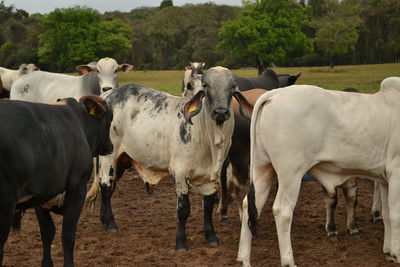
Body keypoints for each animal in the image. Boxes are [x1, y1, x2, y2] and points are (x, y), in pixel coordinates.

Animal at [0, 95, 112, 266]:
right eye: (110, 119)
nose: (110, 146)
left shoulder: (40, 195)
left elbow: (47, 233)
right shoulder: (77, 190)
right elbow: (68, 235)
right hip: (6, 204)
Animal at [88, 67, 253, 251]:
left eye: (232, 87)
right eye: (206, 85)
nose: (221, 112)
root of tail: (108, 95)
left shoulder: (213, 177)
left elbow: (208, 206)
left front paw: (211, 236)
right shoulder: (180, 173)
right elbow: (183, 209)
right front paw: (181, 242)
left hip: (123, 159)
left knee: (110, 187)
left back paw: (104, 220)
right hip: (109, 155)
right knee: (106, 186)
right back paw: (110, 224)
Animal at [238, 76, 400, 266]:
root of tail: (274, 94)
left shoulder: (385, 179)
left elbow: (387, 214)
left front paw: (389, 251)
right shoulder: (396, 172)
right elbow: (396, 214)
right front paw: (397, 253)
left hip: (262, 168)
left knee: (250, 205)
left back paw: (243, 259)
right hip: (290, 174)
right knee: (282, 211)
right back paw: (288, 261)